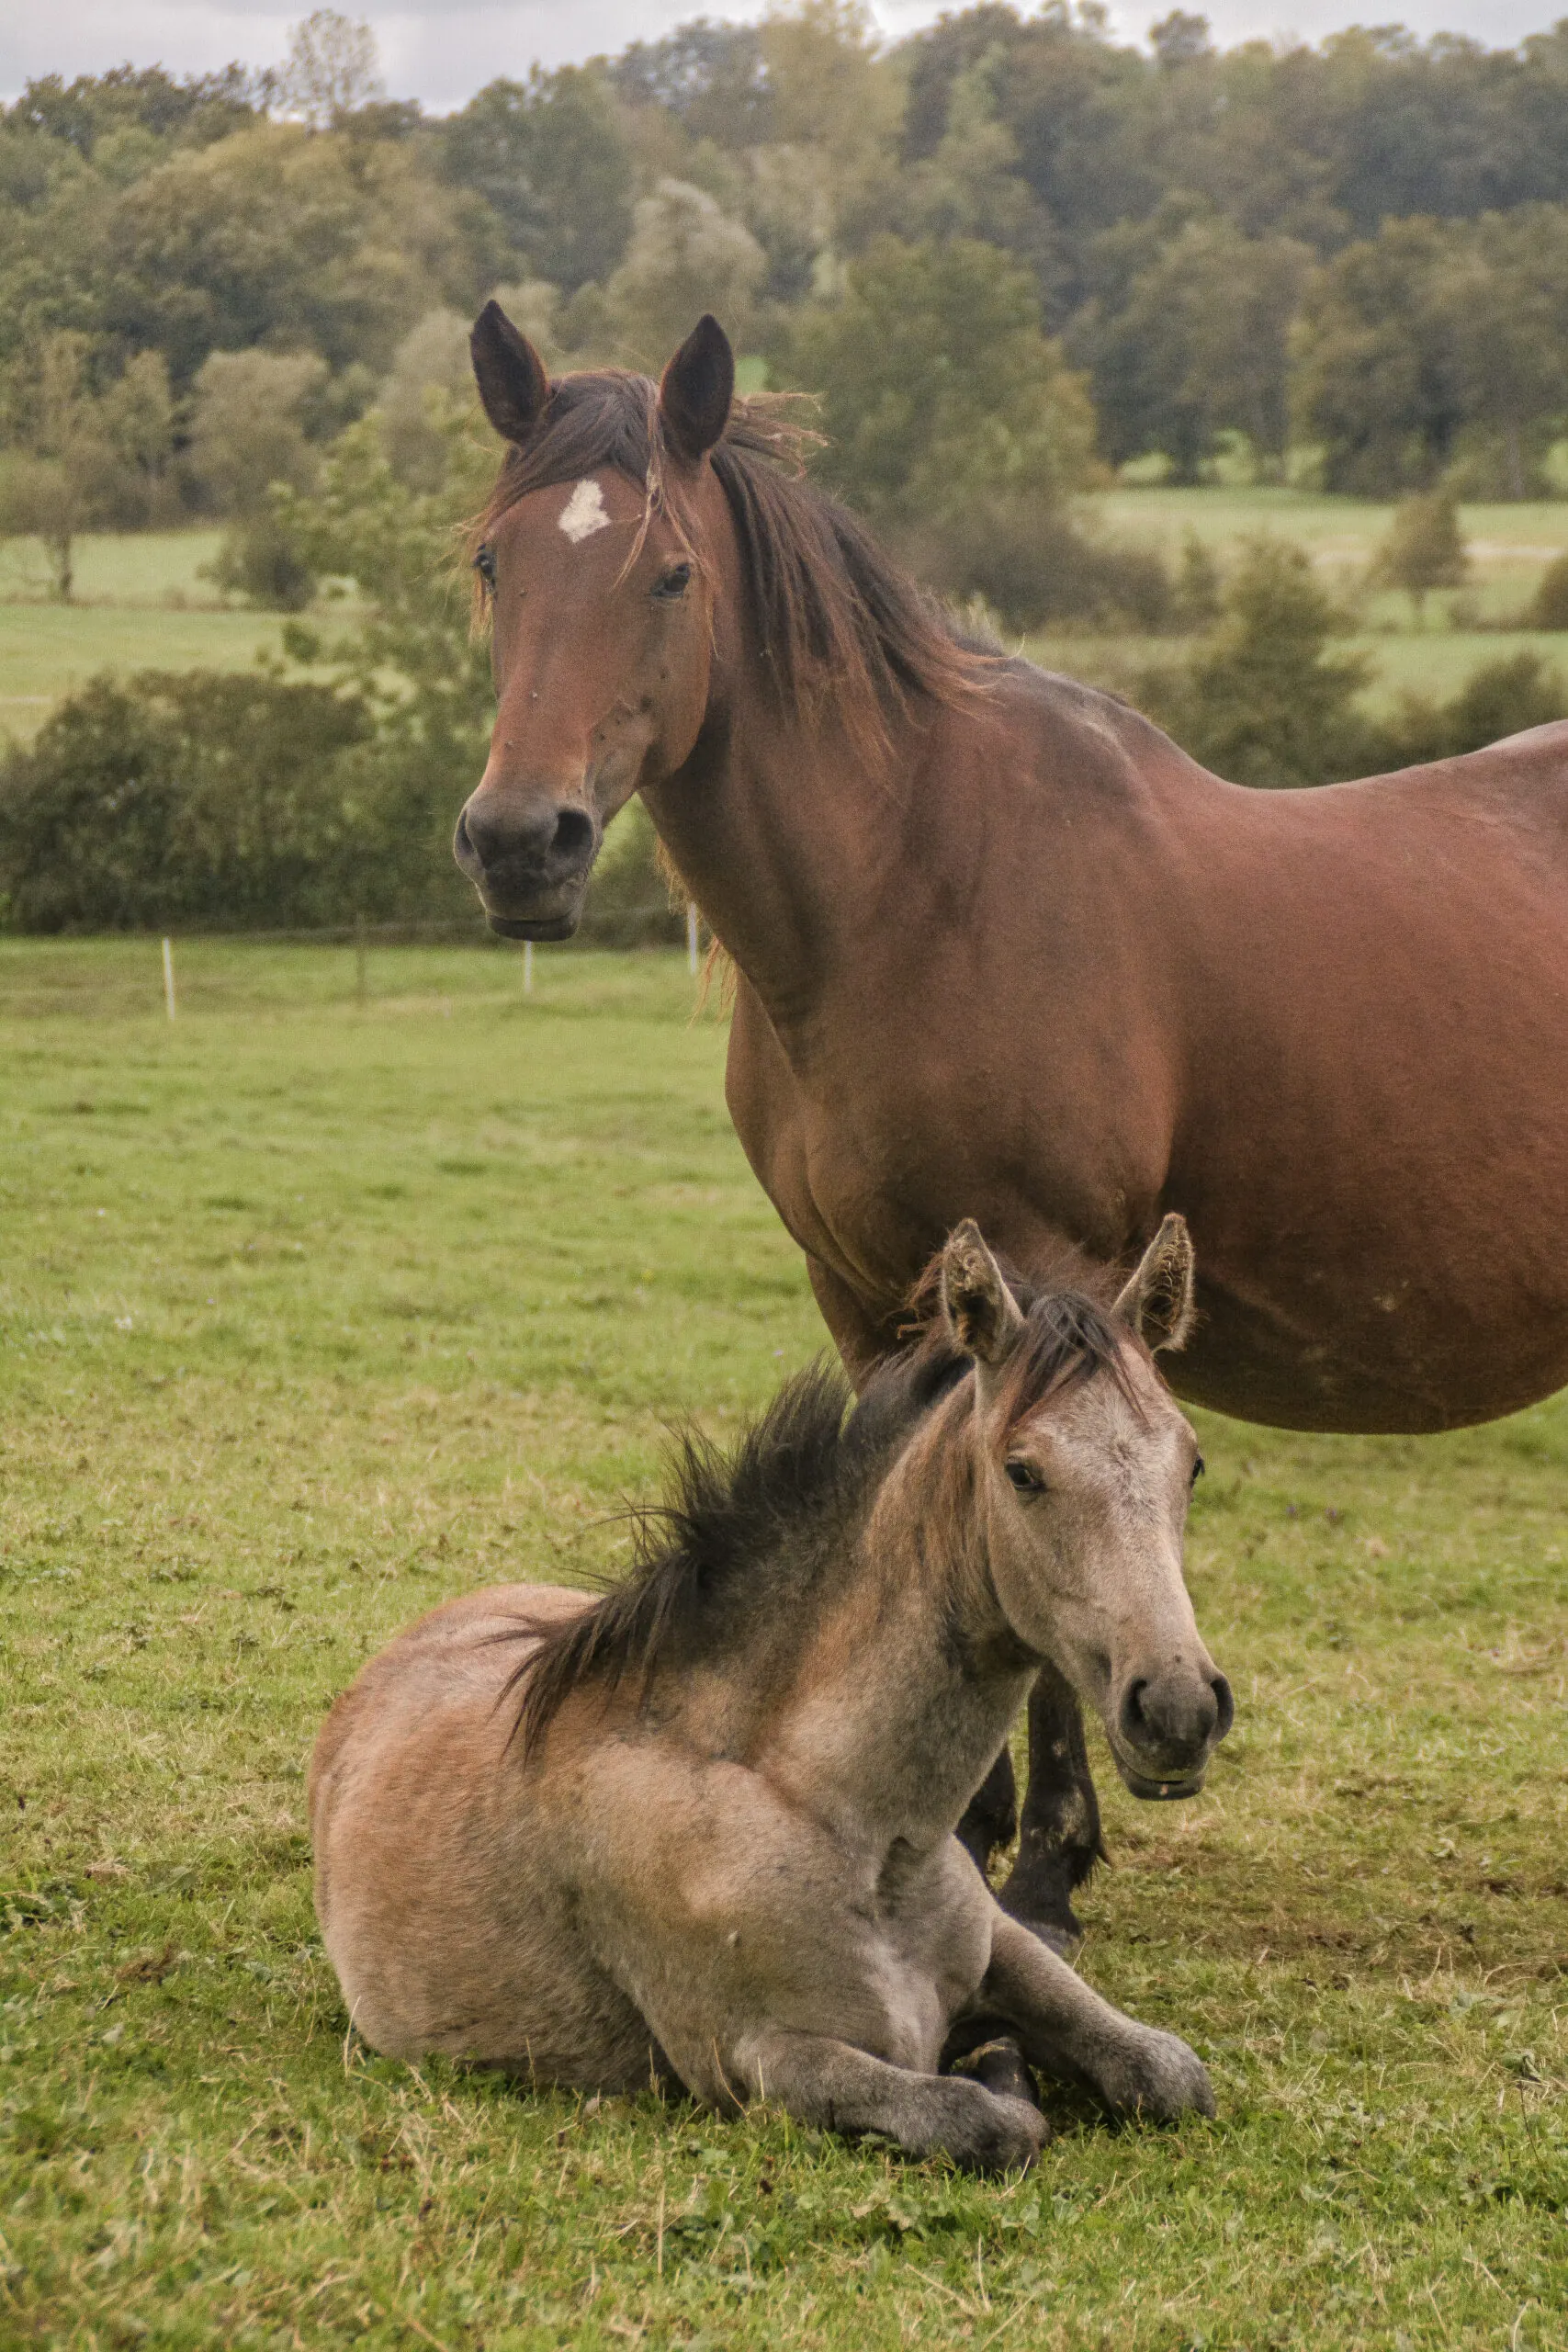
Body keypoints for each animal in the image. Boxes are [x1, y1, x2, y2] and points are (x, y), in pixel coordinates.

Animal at [309, 1221, 1227, 2168]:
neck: (846, 1814)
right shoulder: (755, 2059)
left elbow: (1167, 2072)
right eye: (1022, 1472)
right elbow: (991, 2122)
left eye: (1191, 1464)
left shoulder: (1006, 1942)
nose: (1177, 1708)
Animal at [451, 302, 1568, 1948]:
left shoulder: (1059, 1272)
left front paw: (1041, 1870)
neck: (916, 886)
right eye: (494, 562)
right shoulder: (863, 1295)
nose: (523, 843)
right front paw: (959, 1834)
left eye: (669, 573)